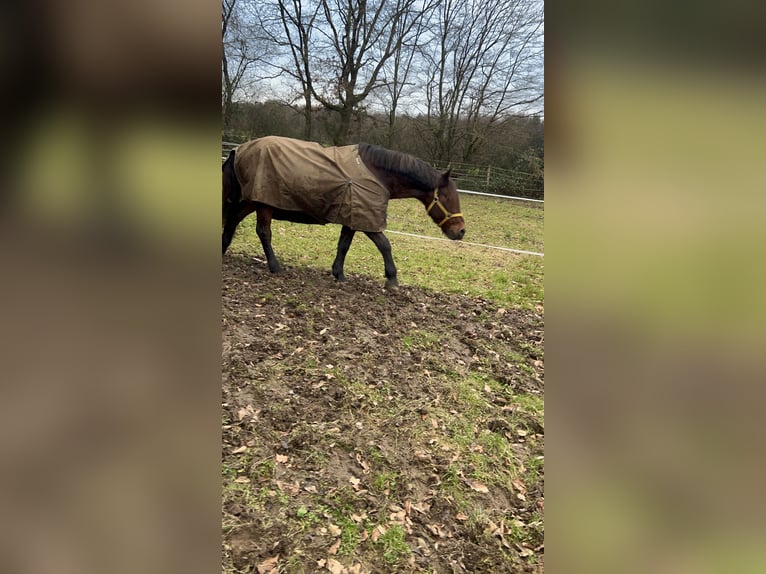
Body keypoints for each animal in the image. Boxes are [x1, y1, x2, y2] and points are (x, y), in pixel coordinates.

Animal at [220, 134, 462, 288]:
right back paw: (275, 266)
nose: (461, 231)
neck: (378, 175)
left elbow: (344, 245)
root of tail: (239, 150)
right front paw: (392, 280)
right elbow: (385, 245)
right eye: (447, 198)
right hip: (264, 204)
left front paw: (339, 274)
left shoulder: (353, 218)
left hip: (252, 201)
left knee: (232, 220)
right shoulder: (367, 221)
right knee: (263, 233)